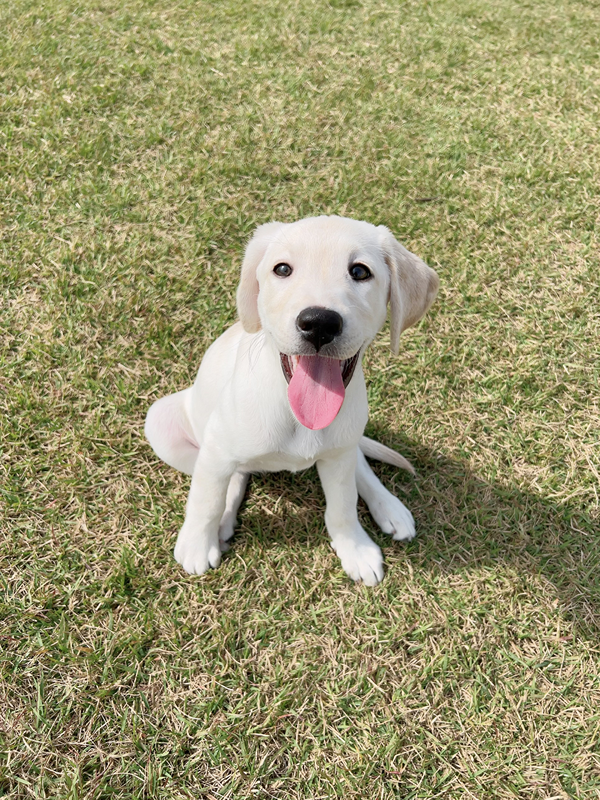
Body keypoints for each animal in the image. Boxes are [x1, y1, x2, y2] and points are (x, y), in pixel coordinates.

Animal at [145, 216, 436, 584]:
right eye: (282, 269)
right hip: (162, 422)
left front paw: (355, 548)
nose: (319, 323)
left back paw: (389, 506)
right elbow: (205, 500)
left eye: (360, 272)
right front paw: (197, 545)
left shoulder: (338, 459)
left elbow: (343, 506)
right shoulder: (215, 452)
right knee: (234, 477)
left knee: (358, 462)